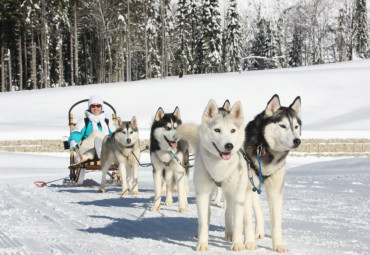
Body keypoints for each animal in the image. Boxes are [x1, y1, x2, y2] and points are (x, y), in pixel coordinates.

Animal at [176, 99, 249, 251]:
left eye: (233, 130)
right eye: (217, 130)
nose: (229, 146)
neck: (220, 169)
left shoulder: (238, 195)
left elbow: (238, 222)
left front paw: (237, 244)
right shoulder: (202, 194)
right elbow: (203, 222)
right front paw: (202, 244)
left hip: (231, 194)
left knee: (228, 212)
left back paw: (229, 234)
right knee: (207, 214)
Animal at [243, 94, 300, 252]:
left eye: (296, 126)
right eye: (283, 126)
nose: (297, 141)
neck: (264, 148)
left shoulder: (275, 189)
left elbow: (276, 221)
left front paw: (279, 245)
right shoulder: (245, 189)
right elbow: (247, 219)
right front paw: (249, 243)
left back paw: (259, 232)